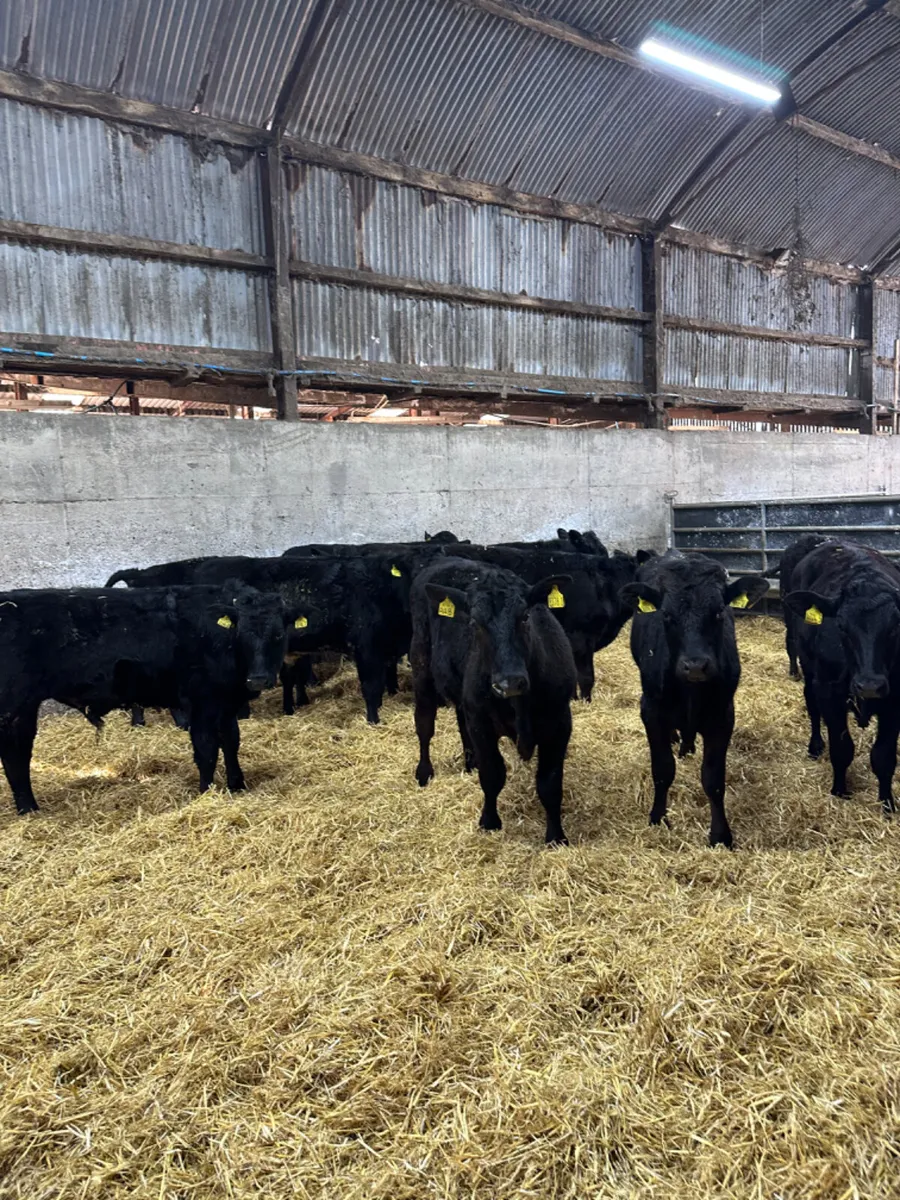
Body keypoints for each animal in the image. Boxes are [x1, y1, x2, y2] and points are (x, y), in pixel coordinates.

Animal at [0, 582, 299, 812]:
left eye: (278, 634)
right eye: (243, 635)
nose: (258, 678)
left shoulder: (226, 704)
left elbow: (231, 743)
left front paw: (237, 786)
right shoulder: (201, 702)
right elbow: (206, 750)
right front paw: (206, 792)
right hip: (14, 706)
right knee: (15, 756)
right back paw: (28, 808)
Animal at [410, 559, 577, 844]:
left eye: (525, 616)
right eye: (475, 623)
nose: (509, 682)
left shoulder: (560, 722)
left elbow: (550, 783)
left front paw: (556, 836)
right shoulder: (481, 722)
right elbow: (492, 774)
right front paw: (489, 822)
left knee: (460, 721)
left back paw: (469, 762)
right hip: (422, 669)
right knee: (424, 725)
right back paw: (424, 772)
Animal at [620, 552, 769, 847]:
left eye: (719, 612)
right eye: (666, 615)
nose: (696, 665)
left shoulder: (723, 716)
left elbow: (713, 779)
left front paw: (721, 835)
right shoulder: (650, 710)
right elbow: (663, 769)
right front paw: (658, 818)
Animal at [783, 538, 900, 814]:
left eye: (895, 626)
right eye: (841, 626)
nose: (870, 685)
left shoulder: (896, 700)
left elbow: (884, 756)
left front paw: (887, 804)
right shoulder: (829, 691)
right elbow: (842, 748)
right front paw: (839, 791)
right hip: (809, 668)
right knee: (812, 705)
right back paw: (815, 745)